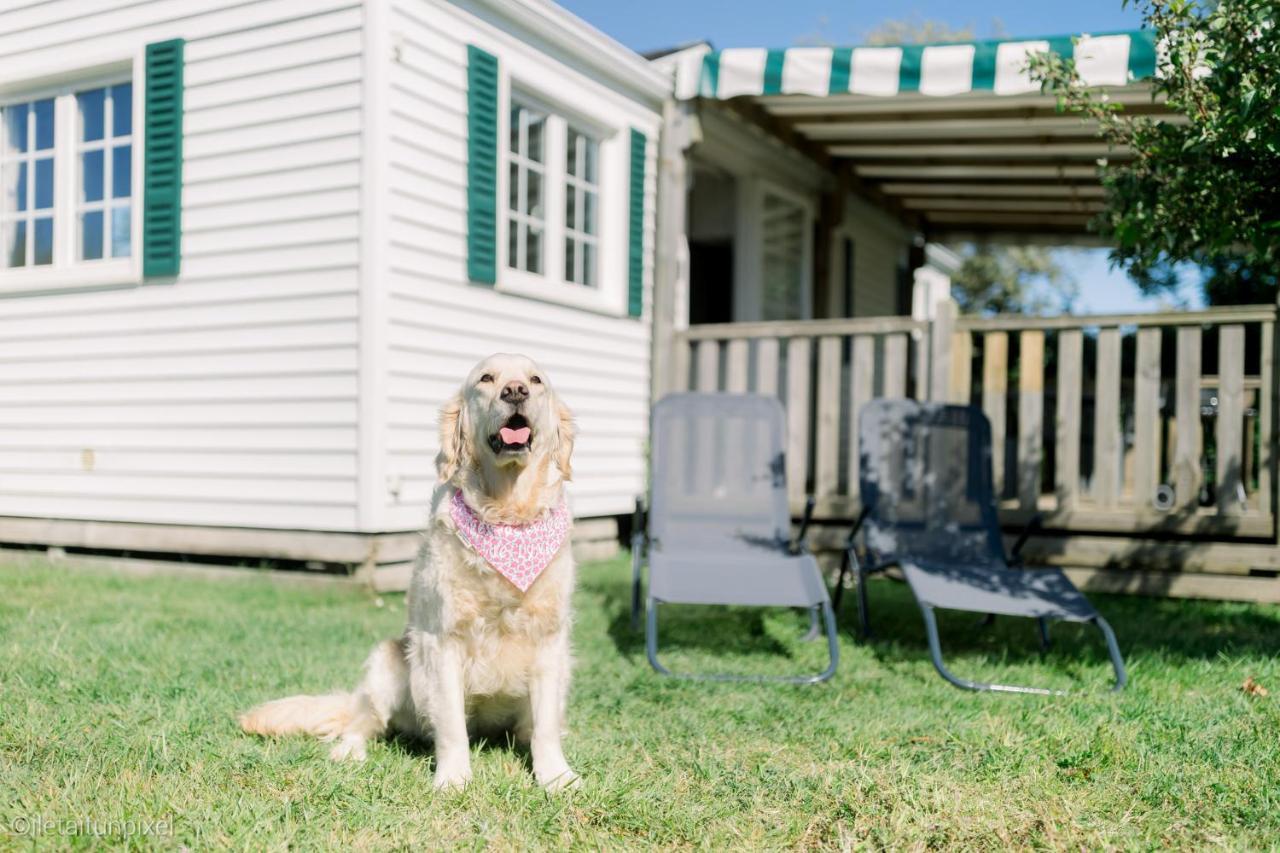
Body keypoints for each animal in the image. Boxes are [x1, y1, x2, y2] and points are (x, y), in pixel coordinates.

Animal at [240, 350, 581, 788]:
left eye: (536, 380)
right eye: (486, 379)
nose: (515, 391)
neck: (508, 513)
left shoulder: (550, 640)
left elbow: (545, 726)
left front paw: (556, 777)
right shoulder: (442, 641)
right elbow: (451, 725)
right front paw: (454, 780)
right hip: (387, 663)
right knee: (363, 722)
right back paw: (349, 751)